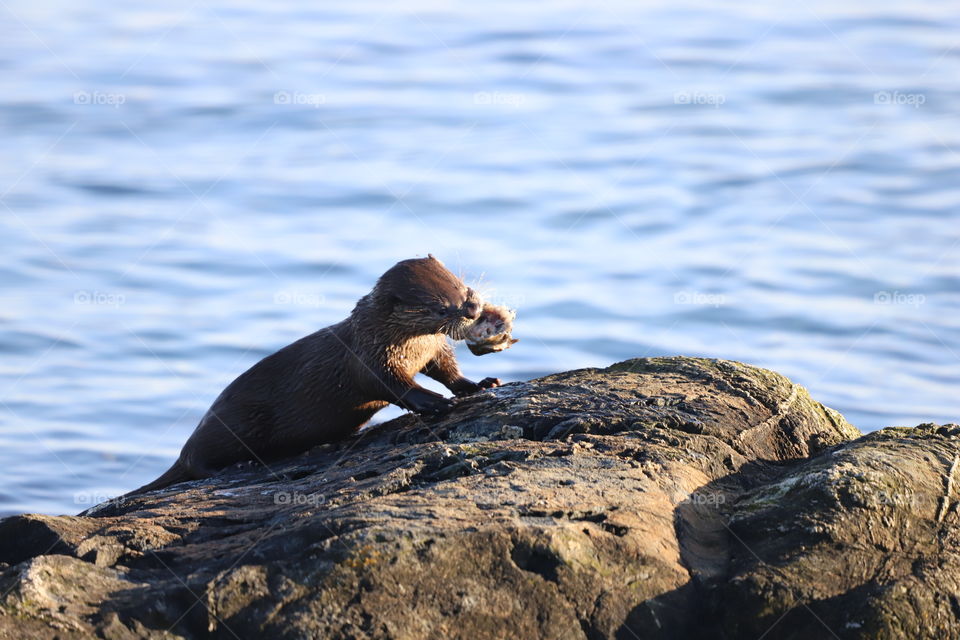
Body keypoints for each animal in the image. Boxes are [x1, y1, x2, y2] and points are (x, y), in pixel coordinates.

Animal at [127, 255, 502, 496]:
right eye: (440, 307)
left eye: (462, 287)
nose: (472, 309)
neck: (403, 343)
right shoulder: (370, 359)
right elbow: (394, 386)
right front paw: (436, 402)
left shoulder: (433, 351)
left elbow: (447, 371)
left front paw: (479, 384)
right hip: (234, 422)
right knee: (195, 462)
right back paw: (235, 468)